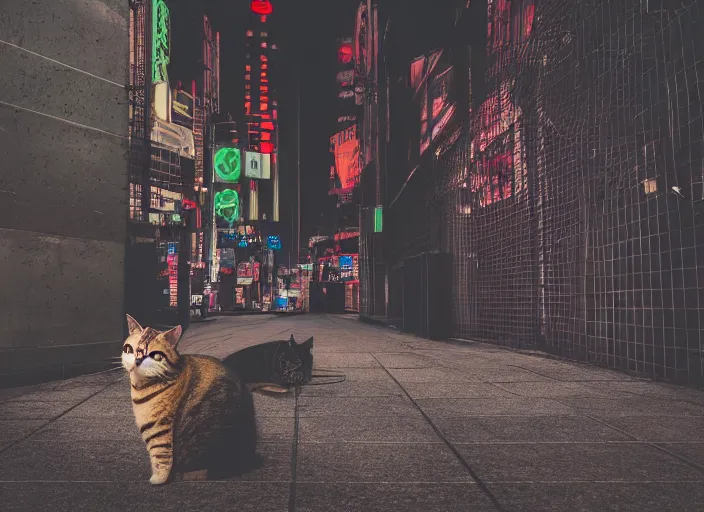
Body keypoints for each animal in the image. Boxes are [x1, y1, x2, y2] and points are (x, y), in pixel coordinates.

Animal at [121, 314, 258, 486]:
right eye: (130, 349)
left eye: (155, 355)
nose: (137, 361)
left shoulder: (159, 428)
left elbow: (160, 456)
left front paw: (158, 479)